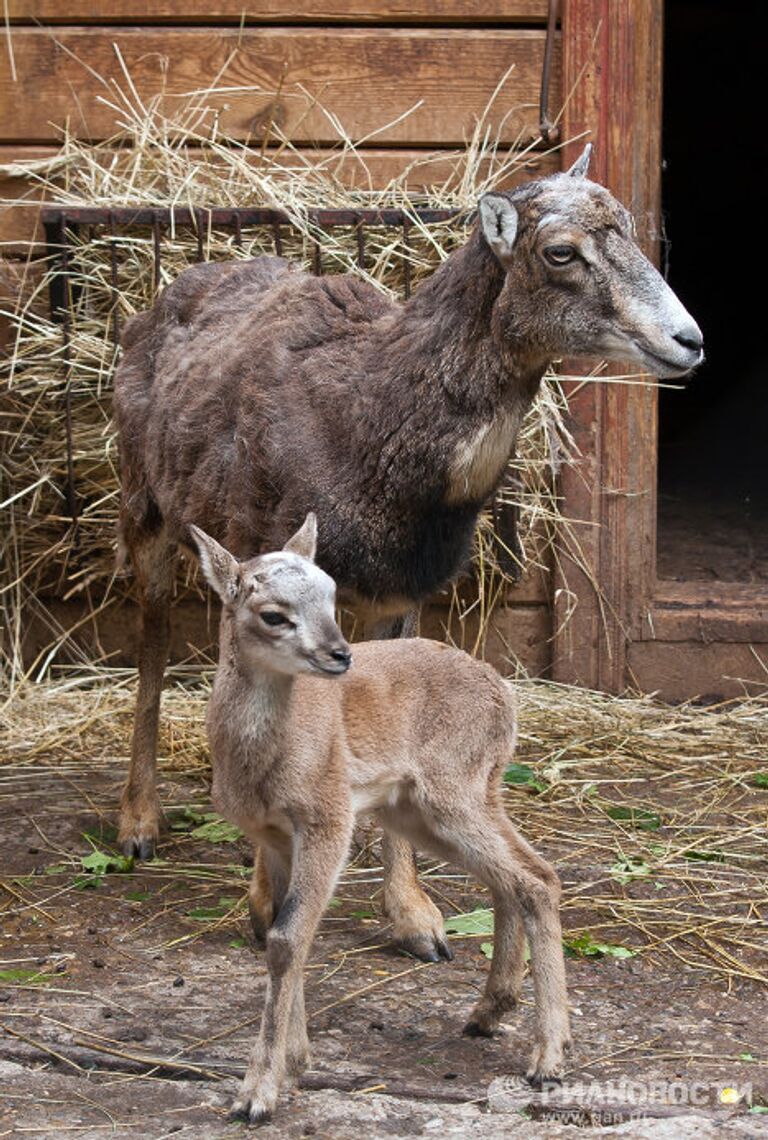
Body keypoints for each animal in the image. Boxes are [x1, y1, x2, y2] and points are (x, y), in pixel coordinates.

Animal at [191, 517, 567, 1121]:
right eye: (273, 614)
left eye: (331, 596)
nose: (339, 654)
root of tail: (502, 691)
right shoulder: (274, 837)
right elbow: (285, 932)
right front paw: (295, 1060)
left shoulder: (329, 820)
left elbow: (288, 938)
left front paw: (257, 1092)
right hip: (429, 808)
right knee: (513, 878)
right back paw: (488, 1012)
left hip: (453, 793)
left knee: (537, 879)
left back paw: (548, 1059)